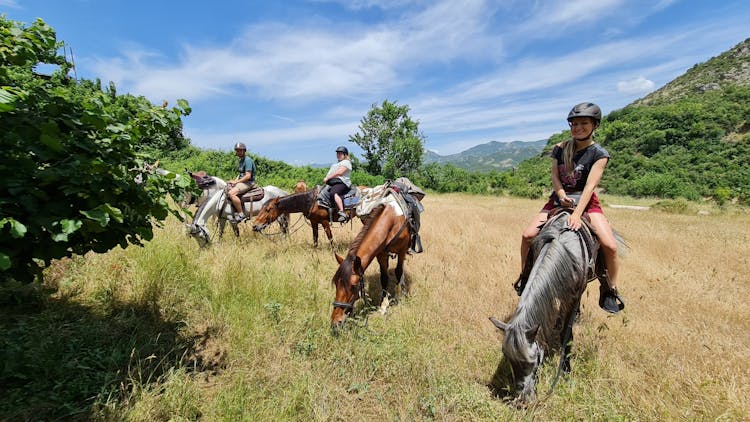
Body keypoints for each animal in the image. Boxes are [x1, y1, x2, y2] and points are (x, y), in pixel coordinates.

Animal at [328, 203, 412, 332]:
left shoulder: (402, 250)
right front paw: (383, 306)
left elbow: (398, 271)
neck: (392, 220)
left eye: (353, 286)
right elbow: (384, 278)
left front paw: (398, 298)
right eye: (336, 284)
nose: (335, 322)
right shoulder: (381, 254)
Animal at [490, 209, 624, 404]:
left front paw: (566, 371)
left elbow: (566, 337)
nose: (524, 400)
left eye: (534, 361)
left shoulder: (574, 297)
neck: (564, 248)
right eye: (509, 359)